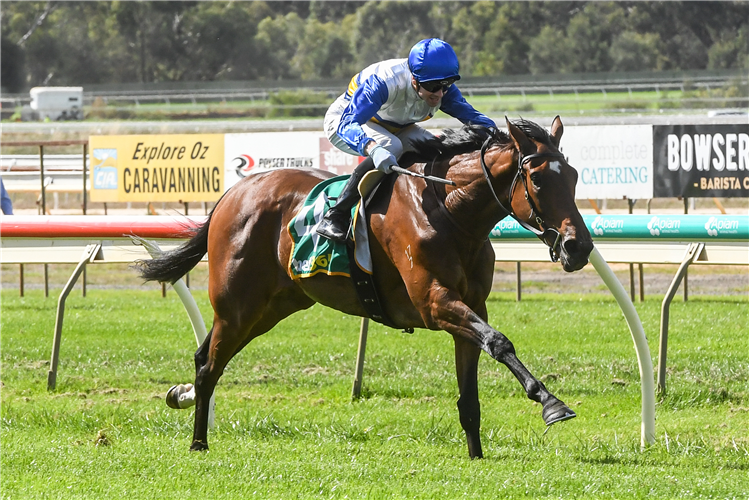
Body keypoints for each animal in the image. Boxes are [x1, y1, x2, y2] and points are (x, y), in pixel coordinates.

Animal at [137, 116, 592, 458]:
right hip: (239, 306)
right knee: (209, 365)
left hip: (272, 307)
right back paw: (198, 442)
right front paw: (551, 403)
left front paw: (476, 454)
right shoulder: (435, 303)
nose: (579, 246)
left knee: (205, 356)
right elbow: (499, 342)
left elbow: (471, 392)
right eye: (537, 179)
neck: (450, 211)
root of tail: (234, 192)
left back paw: (183, 401)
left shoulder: (471, 307)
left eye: (571, 176)